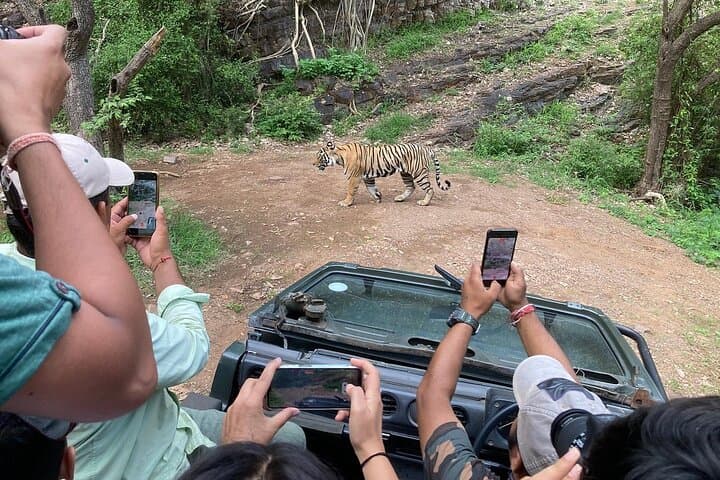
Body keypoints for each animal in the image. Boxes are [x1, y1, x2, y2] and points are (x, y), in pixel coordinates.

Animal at [313, 141, 451, 207]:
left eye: (319, 156)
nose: (313, 164)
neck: (340, 157)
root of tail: (426, 148)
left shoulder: (354, 177)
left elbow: (351, 190)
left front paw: (346, 203)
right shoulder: (367, 177)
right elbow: (371, 189)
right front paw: (378, 197)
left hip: (419, 173)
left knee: (430, 189)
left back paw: (424, 202)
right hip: (405, 173)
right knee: (411, 186)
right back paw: (400, 198)